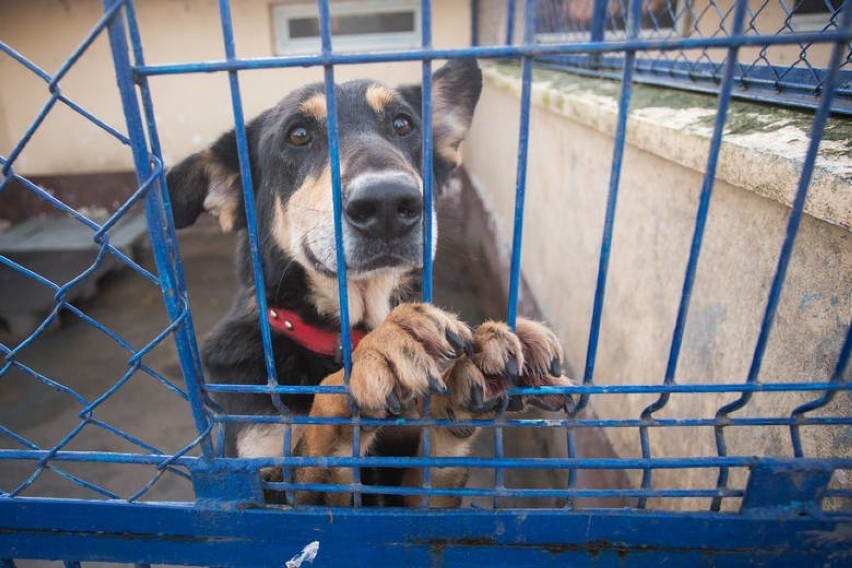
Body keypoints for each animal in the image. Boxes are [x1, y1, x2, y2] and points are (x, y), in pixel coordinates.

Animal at [165, 60, 572, 508]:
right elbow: (316, 431)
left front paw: (475, 359)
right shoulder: (255, 489)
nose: (388, 203)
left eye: (403, 124)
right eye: (298, 135)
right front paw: (382, 349)